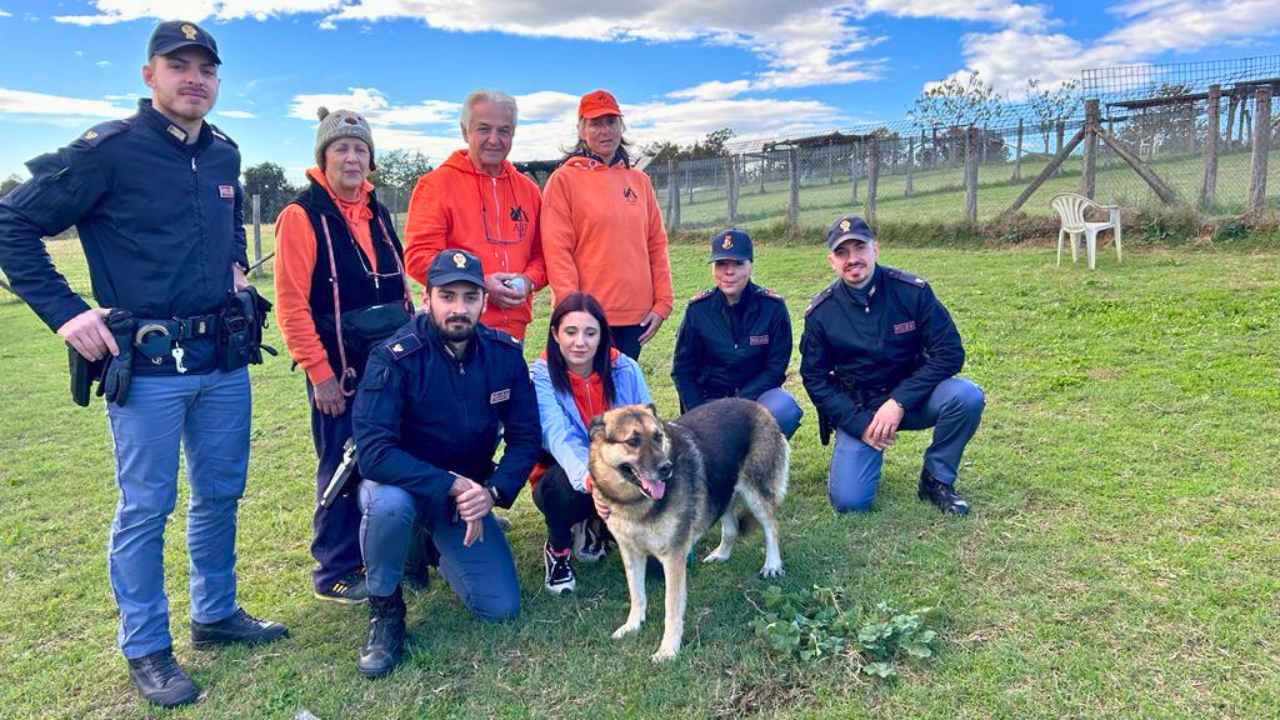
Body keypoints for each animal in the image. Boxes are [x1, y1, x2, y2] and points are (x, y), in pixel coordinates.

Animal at [586, 394, 783, 661]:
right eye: (632, 441)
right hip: (720, 489)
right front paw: (633, 625)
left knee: (771, 526)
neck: (635, 503)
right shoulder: (631, 553)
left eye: (658, 436)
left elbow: (672, 606)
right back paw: (722, 553)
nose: (666, 468)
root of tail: (754, 404)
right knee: (731, 524)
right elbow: (636, 594)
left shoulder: (673, 557)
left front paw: (668, 649)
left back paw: (773, 564)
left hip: (755, 492)